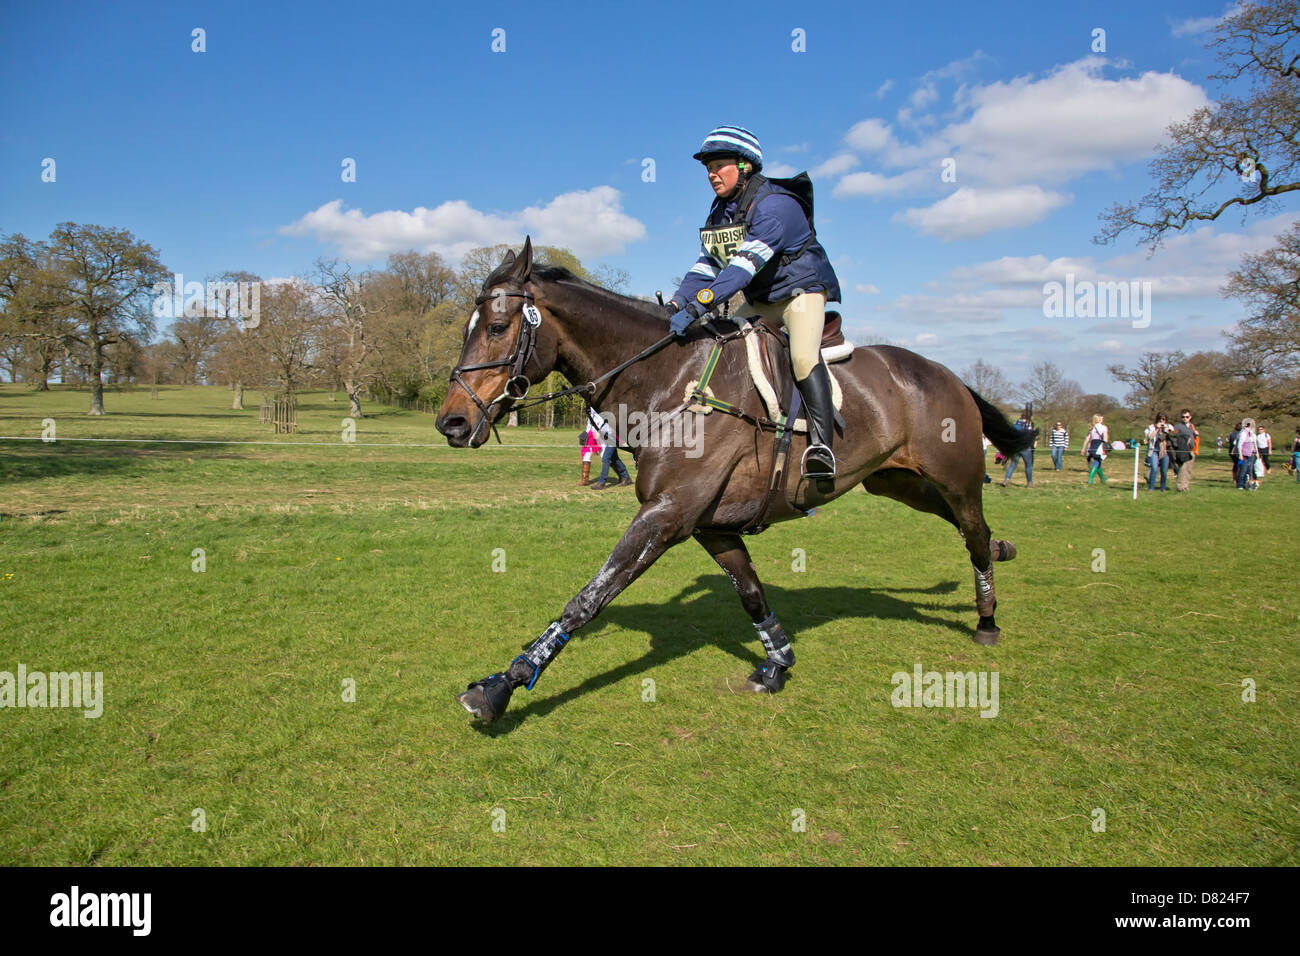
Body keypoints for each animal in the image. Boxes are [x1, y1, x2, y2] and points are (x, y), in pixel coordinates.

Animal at [436, 238, 1030, 722]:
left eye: (496, 328)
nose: (451, 423)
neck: (668, 382)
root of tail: (948, 373)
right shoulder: (710, 525)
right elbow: (751, 594)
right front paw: (778, 663)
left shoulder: (667, 515)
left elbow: (588, 598)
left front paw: (502, 685)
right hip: (895, 481)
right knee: (964, 527)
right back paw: (1004, 551)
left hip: (954, 477)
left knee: (972, 529)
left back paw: (987, 616)